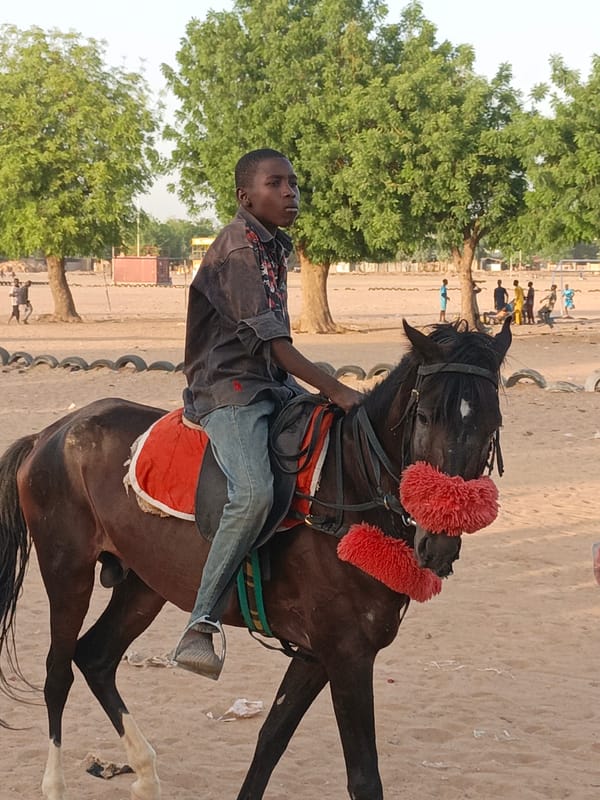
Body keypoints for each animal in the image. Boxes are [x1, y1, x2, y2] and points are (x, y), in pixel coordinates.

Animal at [0, 318, 511, 800]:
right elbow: (364, 779)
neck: (348, 486)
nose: (439, 542)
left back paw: (144, 774)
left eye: (492, 425)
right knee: (58, 673)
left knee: (96, 658)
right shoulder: (347, 654)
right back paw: (55, 785)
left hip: (144, 586)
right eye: (423, 417)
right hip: (67, 571)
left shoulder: (315, 654)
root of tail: (51, 433)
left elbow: (271, 740)